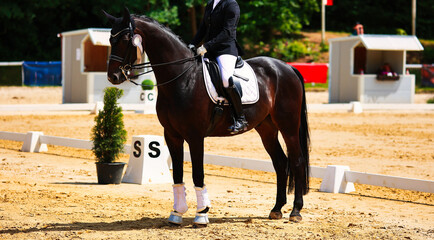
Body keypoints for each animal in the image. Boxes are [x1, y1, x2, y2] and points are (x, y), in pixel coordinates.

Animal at [104, 7, 310, 225]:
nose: (113, 77)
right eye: (110, 39)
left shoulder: (195, 136)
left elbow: (197, 174)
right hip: (266, 128)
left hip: (288, 126)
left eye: (126, 39)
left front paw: (201, 214)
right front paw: (176, 213)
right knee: (280, 162)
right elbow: (178, 174)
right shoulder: (172, 135)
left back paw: (296, 211)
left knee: (297, 161)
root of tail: (287, 67)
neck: (182, 77)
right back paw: (276, 209)